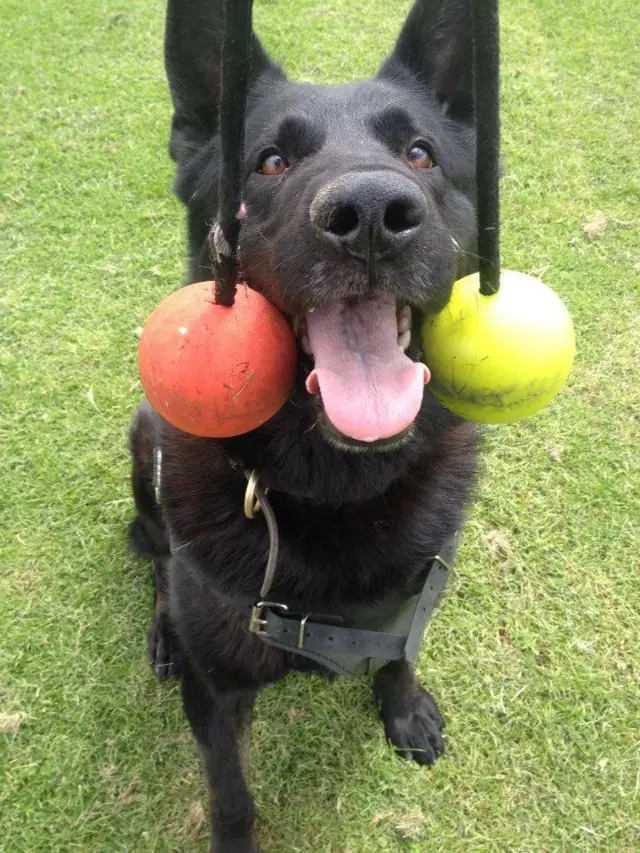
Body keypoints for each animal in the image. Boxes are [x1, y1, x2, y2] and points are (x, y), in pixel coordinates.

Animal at [130, 3, 478, 848]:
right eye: (270, 162)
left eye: (419, 153)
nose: (374, 217)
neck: (337, 487)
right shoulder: (217, 694)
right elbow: (231, 792)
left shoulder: (420, 589)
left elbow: (401, 648)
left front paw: (403, 705)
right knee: (152, 556)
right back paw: (162, 631)